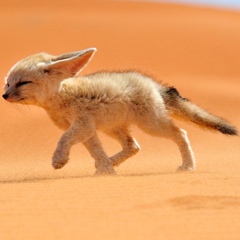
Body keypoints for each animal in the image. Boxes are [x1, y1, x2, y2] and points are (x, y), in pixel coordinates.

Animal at [2, 48, 238, 174]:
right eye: (7, 84)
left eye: (22, 83)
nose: (4, 96)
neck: (61, 97)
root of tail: (154, 84)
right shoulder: (88, 130)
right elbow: (96, 151)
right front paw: (106, 170)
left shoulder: (82, 125)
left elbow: (63, 139)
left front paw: (59, 160)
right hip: (113, 128)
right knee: (133, 146)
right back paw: (110, 163)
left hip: (151, 125)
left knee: (180, 133)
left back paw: (188, 166)